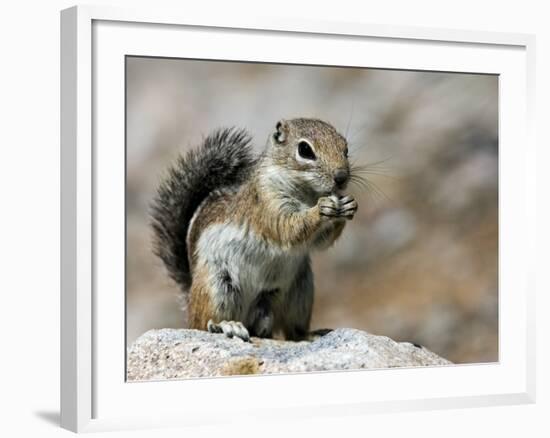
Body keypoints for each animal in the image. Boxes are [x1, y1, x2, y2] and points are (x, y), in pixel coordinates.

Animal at [151, 119, 358, 342]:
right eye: (305, 150)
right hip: (217, 286)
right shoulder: (268, 203)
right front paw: (321, 209)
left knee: (291, 331)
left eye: (345, 148)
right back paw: (226, 325)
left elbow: (321, 242)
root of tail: (189, 295)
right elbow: (288, 228)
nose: (341, 177)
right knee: (203, 323)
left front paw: (348, 205)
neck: (307, 193)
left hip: (299, 292)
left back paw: (308, 334)